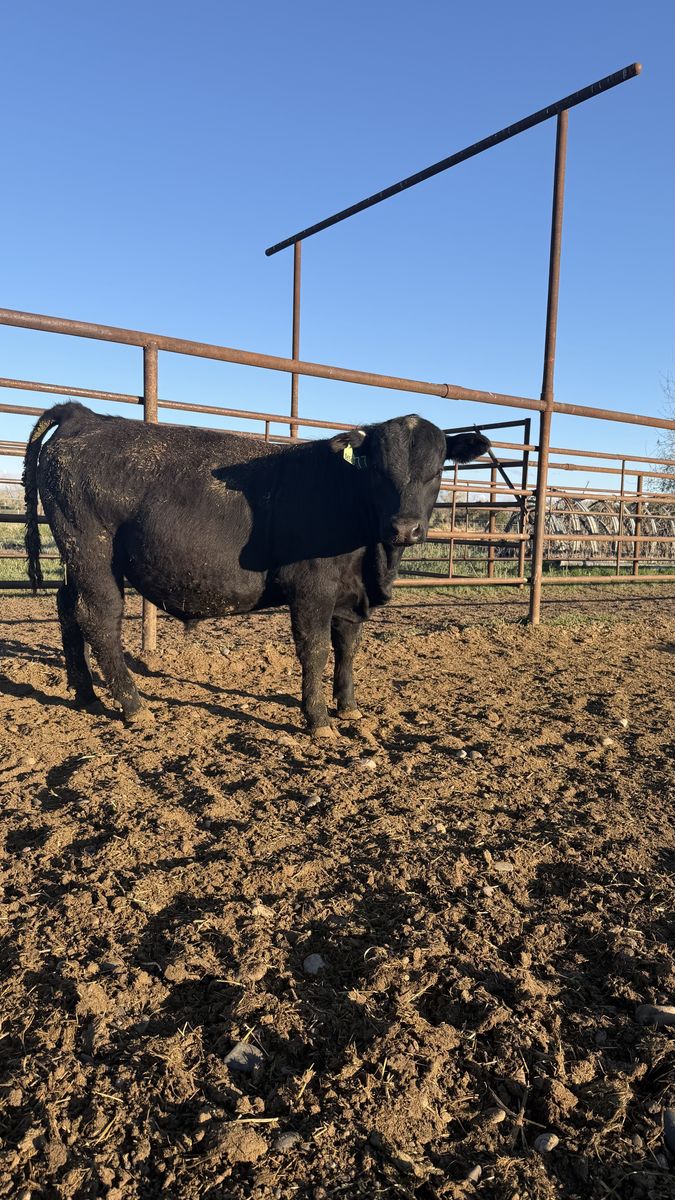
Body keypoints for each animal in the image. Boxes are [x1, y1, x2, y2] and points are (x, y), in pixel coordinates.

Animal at [23, 403, 489, 737]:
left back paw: (86, 695)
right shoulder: (312, 590)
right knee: (99, 619)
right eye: (377, 469)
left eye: (437, 470)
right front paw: (319, 721)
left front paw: (349, 708)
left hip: (76, 561)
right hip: (93, 554)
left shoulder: (352, 596)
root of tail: (86, 417)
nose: (404, 528)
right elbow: (316, 650)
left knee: (68, 609)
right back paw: (134, 706)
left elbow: (347, 649)